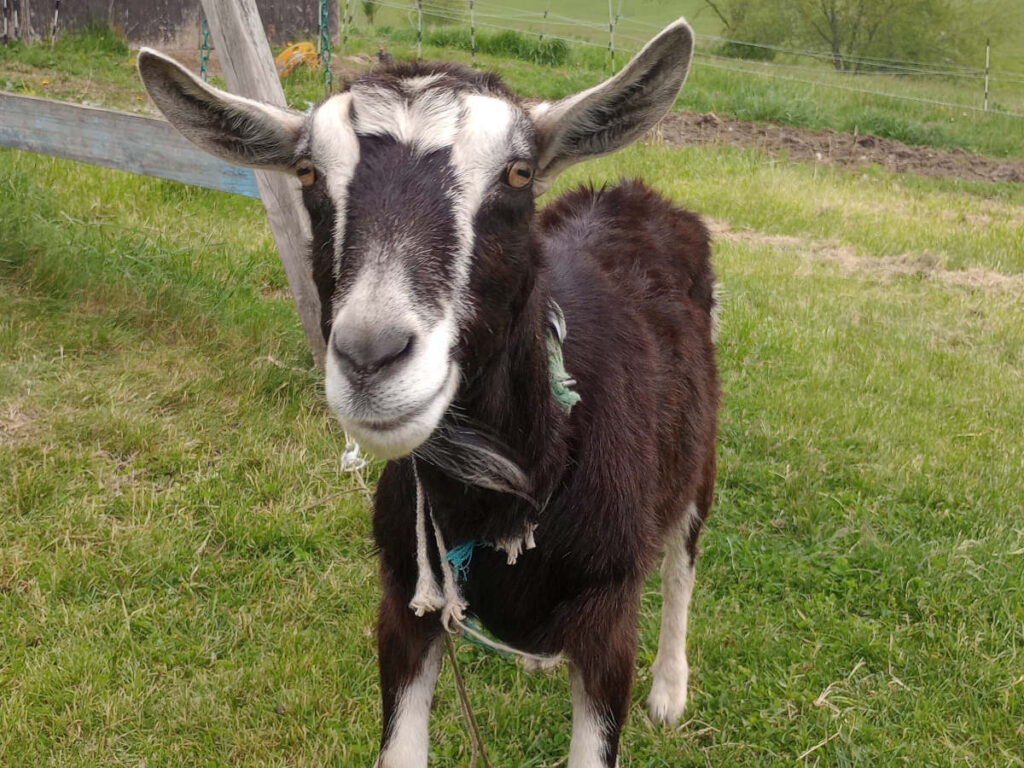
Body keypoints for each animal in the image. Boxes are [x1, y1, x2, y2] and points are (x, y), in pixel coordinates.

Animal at [138, 17, 718, 767]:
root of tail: (638, 192)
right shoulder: (404, 607)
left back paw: (670, 692)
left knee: (682, 565)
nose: (370, 356)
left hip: (698, 462)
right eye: (307, 172)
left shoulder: (609, 613)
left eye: (518, 172)